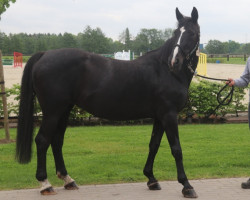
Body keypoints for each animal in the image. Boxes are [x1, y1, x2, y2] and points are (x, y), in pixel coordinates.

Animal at [16, 7, 199, 197]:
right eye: (176, 33)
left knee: (57, 140)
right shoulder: (169, 114)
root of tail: (44, 54)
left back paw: (68, 180)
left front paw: (151, 179)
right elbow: (176, 149)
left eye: (192, 33)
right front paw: (186, 185)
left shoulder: (160, 116)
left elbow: (154, 145)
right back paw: (45, 184)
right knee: (42, 140)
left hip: (64, 110)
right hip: (52, 111)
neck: (164, 70)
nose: (175, 61)